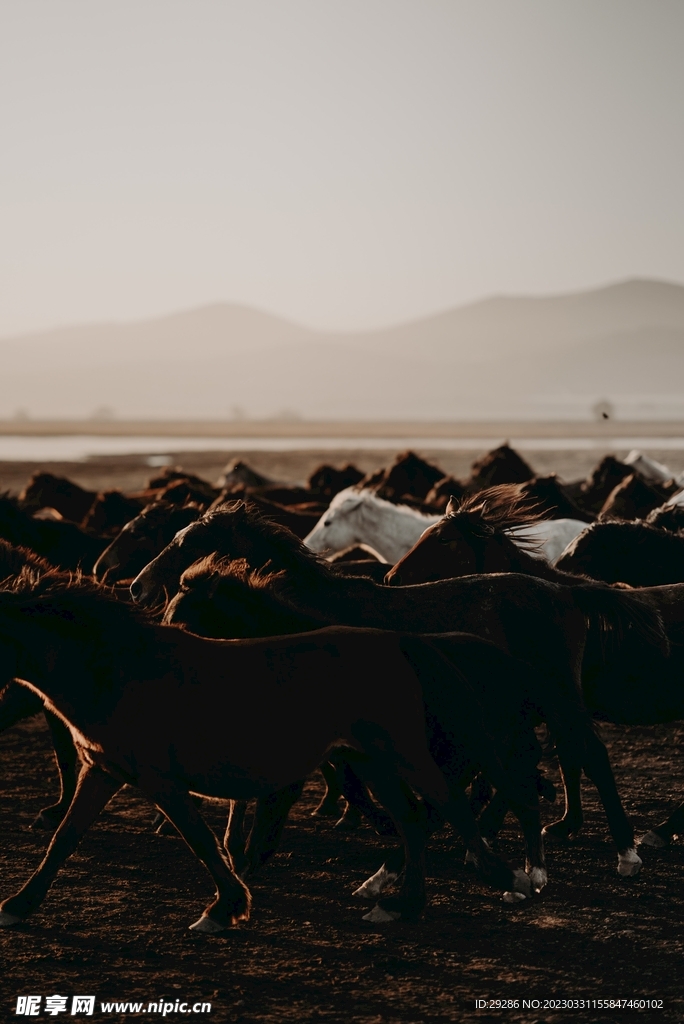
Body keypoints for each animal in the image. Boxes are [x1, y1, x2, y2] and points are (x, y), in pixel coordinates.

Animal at [0, 573, 540, 933]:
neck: (120, 671)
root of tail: (402, 643)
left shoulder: (160, 782)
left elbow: (203, 843)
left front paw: (224, 908)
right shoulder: (103, 771)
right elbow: (64, 839)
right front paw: (20, 905)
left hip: (401, 755)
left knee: (445, 806)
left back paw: (506, 876)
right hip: (373, 761)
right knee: (411, 820)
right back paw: (403, 904)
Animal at [129, 497, 667, 872]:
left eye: (184, 543)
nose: (138, 586)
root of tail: (563, 591)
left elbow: (349, 781)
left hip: (558, 699)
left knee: (588, 755)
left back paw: (626, 853)